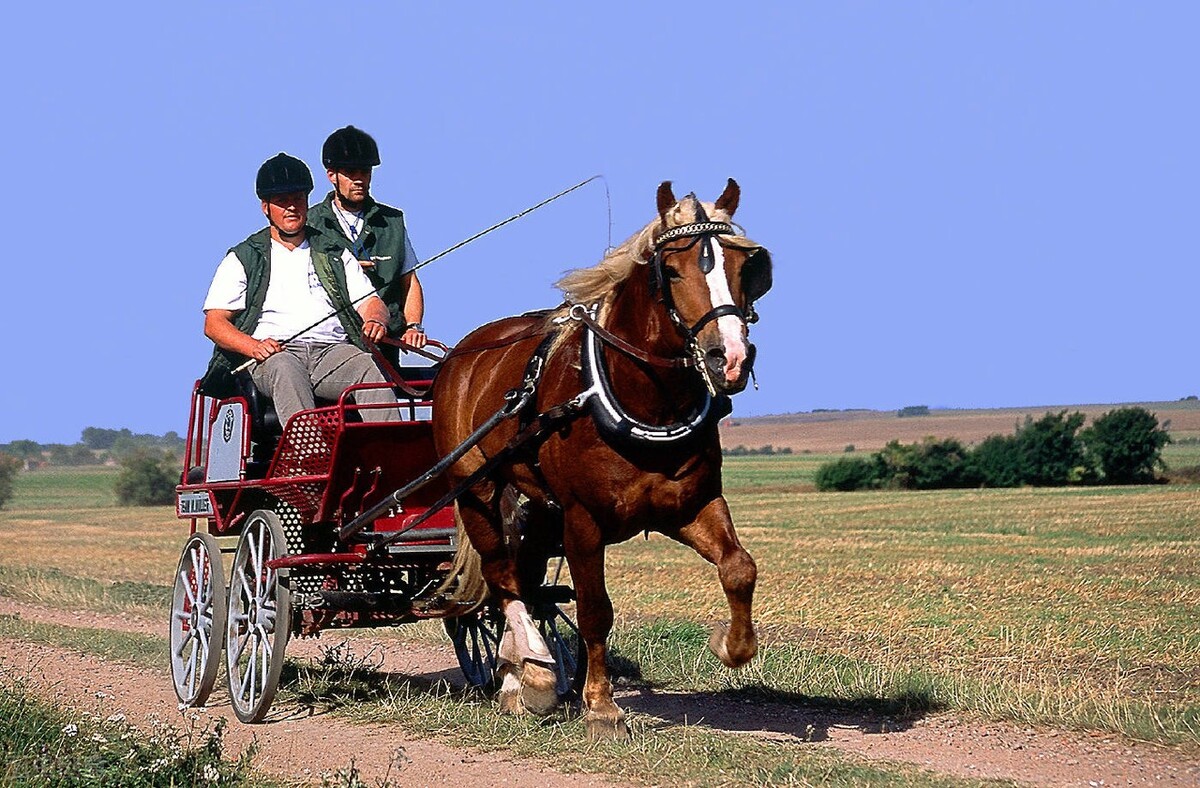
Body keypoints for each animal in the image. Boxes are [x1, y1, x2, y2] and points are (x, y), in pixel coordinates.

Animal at [431, 179, 772, 739]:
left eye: (750, 268)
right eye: (671, 269)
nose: (730, 359)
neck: (642, 399)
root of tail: (463, 354)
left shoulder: (691, 505)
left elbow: (739, 568)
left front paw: (731, 645)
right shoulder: (582, 520)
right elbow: (595, 610)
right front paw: (602, 706)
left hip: (533, 509)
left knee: (520, 582)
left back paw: (515, 678)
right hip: (477, 488)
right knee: (504, 580)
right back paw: (533, 673)